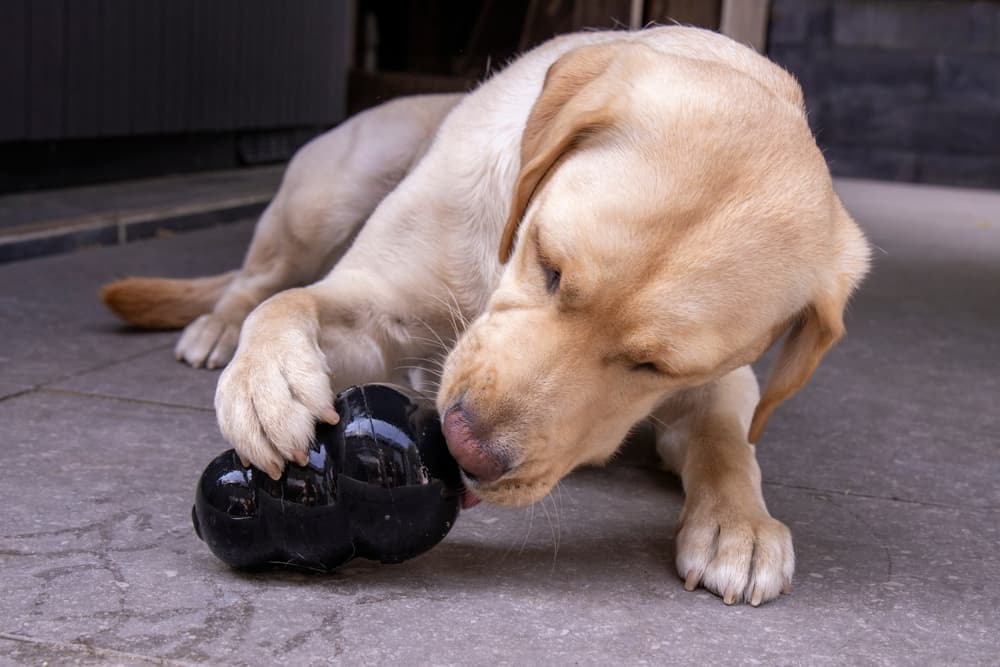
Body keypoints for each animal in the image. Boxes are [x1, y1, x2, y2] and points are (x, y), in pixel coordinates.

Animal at [99, 28, 868, 608]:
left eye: (655, 365)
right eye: (550, 265)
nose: (465, 448)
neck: (494, 265)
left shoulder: (723, 382)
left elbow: (728, 440)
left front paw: (739, 522)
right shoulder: (370, 297)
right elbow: (292, 302)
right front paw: (267, 383)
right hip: (328, 194)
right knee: (256, 280)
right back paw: (218, 329)